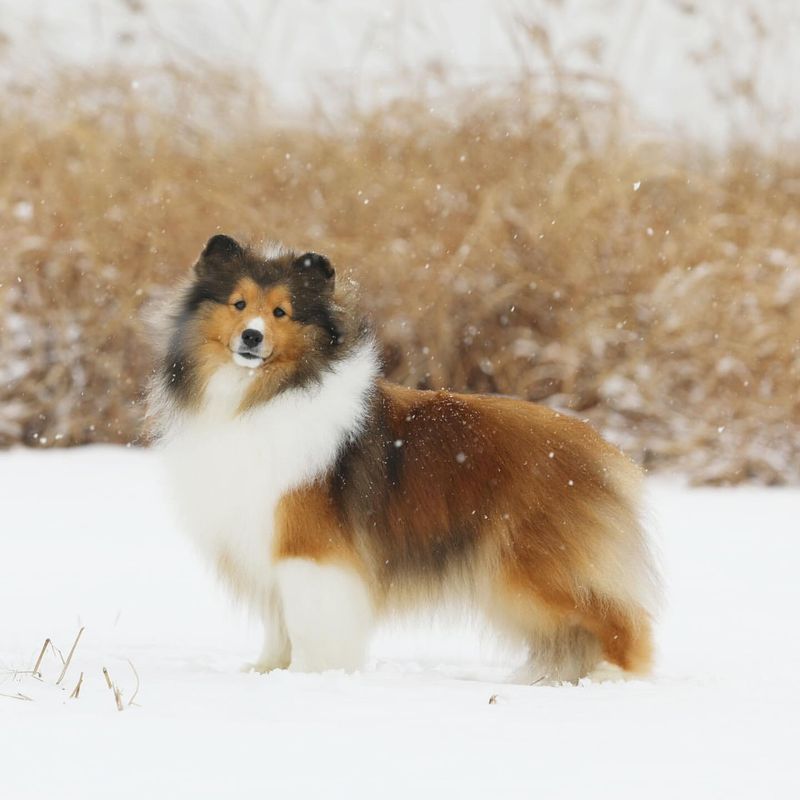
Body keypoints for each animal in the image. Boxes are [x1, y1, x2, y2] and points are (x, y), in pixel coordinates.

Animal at [147, 234, 660, 684]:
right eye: (238, 304)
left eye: (280, 312)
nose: (251, 338)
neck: (260, 396)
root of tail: (600, 449)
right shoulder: (267, 540)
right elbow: (280, 623)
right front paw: (269, 670)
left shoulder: (308, 549)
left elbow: (311, 624)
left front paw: (309, 675)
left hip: (533, 571)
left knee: (621, 617)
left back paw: (615, 676)